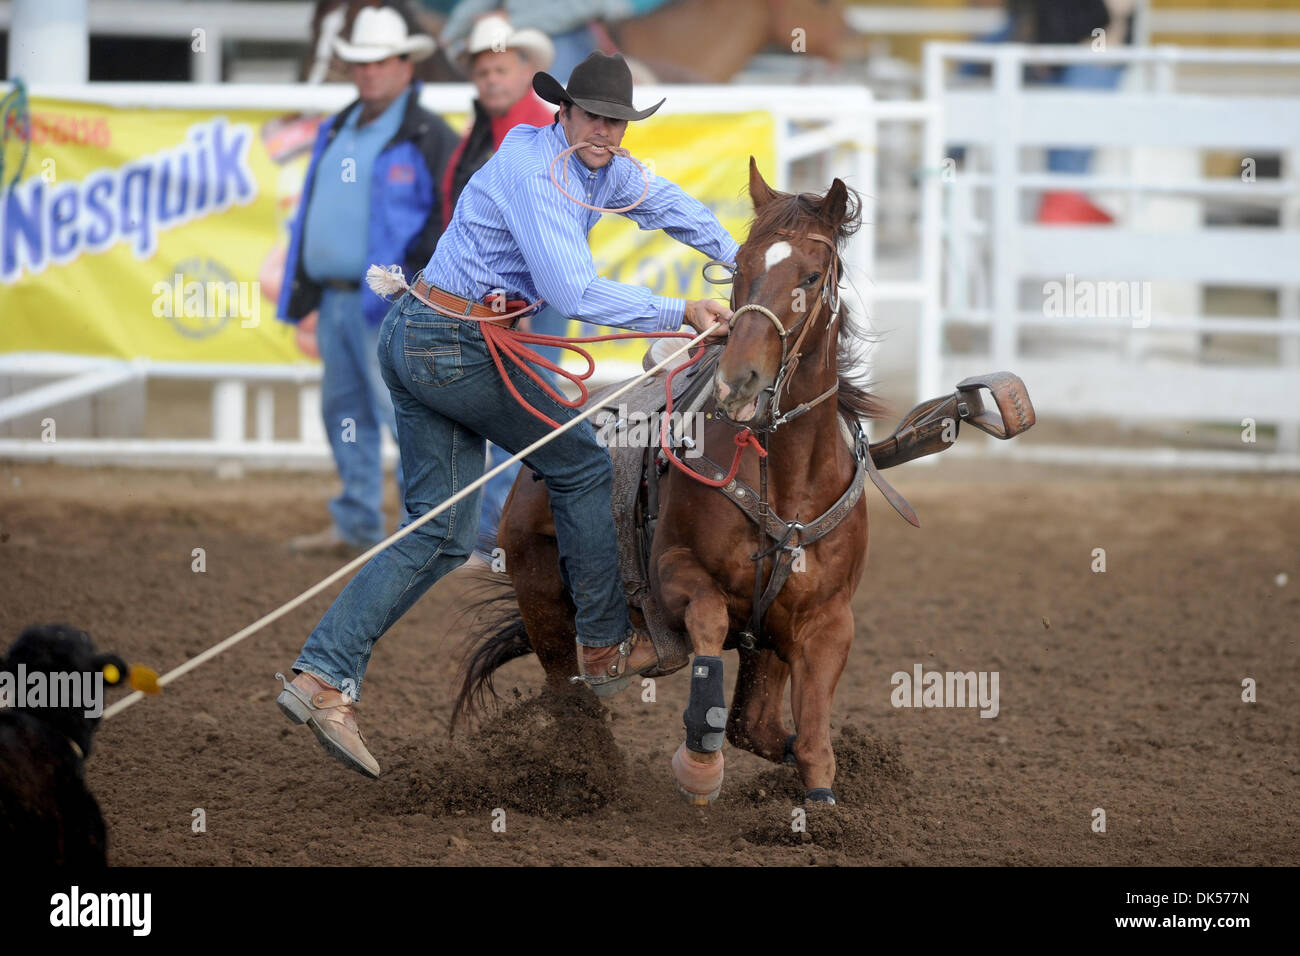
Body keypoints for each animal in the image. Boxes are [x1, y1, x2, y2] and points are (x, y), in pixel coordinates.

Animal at [452, 158, 878, 806]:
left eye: (810, 274)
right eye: (740, 267)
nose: (739, 381)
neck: (784, 480)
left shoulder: (827, 619)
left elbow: (807, 735)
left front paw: (824, 796)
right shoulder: (675, 571)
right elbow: (707, 619)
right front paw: (699, 762)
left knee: (755, 726)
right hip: (543, 599)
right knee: (573, 700)